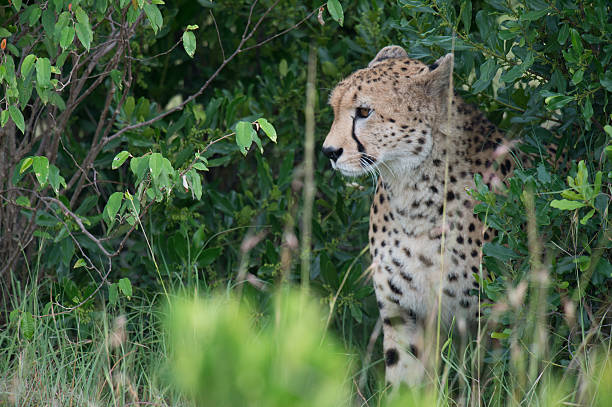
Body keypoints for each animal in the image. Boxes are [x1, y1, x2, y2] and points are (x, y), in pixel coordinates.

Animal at [320, 46, 516, 388]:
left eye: (364, 111)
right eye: (334, 108)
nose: (329, 151)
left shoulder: (491, 315)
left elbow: (490, 382)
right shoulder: (403, 312)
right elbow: (403, 379)